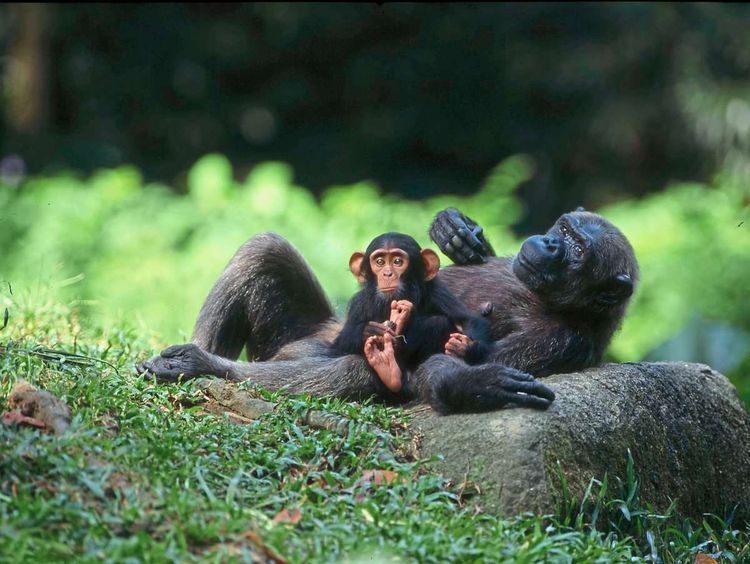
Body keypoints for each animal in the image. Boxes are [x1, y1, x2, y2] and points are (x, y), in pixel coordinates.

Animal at [332, 231, 490, 394]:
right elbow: (339, 345)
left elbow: (468, 319)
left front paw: (465, 347)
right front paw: (370, 331)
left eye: (397, 261)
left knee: (438, 322)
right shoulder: (359, 304)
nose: (387, 273)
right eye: (380, 262)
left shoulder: (438, 292)